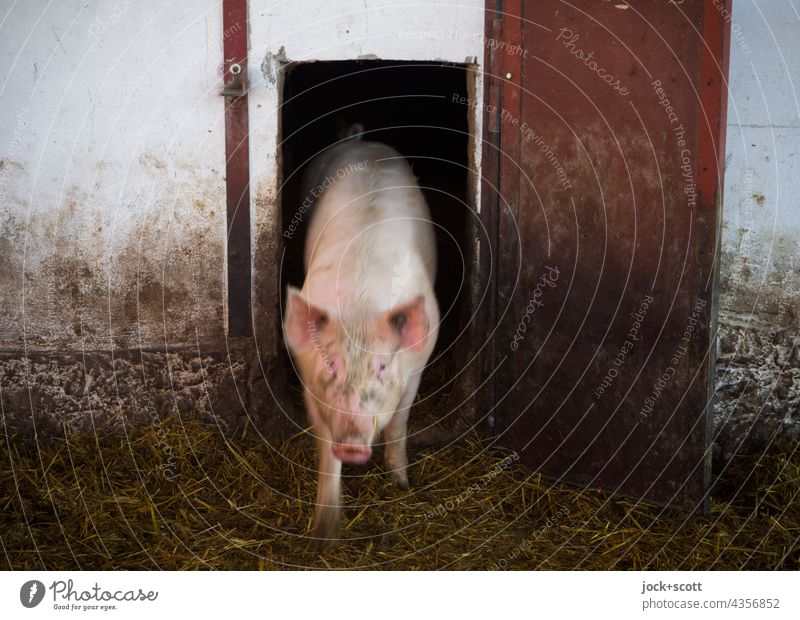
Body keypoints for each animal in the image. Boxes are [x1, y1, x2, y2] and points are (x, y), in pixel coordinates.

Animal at [284, 132, 440, 548]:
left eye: (381, 365)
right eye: (331, 364)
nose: (353, 444)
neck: (359, 308)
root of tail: (360, 139)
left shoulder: (416, 368)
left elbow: (399, 423)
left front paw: (400, 483)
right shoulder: (308, 380)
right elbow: (324, 447)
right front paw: (323, 536)